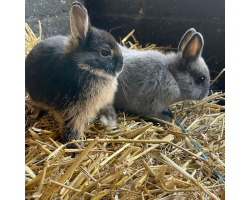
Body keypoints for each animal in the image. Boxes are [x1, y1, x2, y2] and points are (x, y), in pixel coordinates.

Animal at [25, 0, 123, 147]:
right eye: (105, 52)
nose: (121, 66)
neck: (86, 67)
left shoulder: (105, 103)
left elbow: (108, 110)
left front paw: (111, 123)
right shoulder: (73, 112)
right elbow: (72, 128)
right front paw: (74, 146)